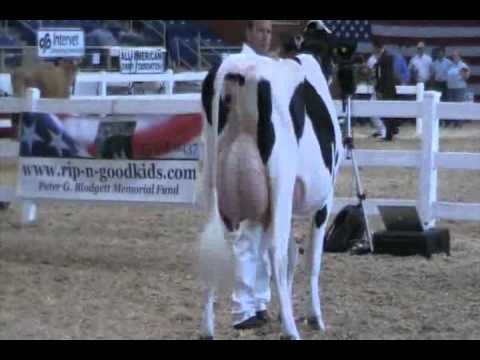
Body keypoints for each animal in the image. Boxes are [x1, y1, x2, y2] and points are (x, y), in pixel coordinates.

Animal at [199, 21, 344, 338]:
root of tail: (238, 68)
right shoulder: (324, 199)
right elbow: (310, 259)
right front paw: (315, 317)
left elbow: (293, 253)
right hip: (279, 180)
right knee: (275, 252)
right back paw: (291, 330)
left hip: (212, 182)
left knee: (215, 247)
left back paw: (207, 328)